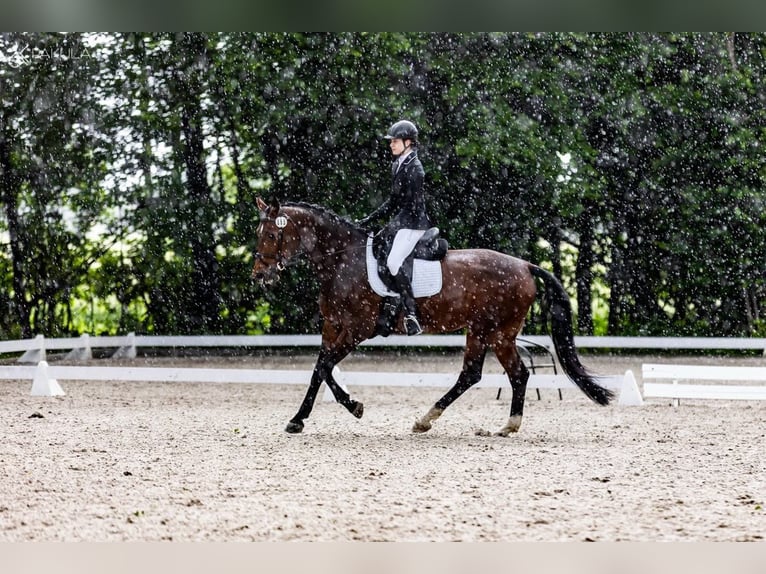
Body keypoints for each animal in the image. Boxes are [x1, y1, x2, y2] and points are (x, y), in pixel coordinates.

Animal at [251, 197, 613, 436]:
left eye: (270, 235)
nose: (259, 276)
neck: (343, 260)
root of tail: (524, 265)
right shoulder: (332, 326)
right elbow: (319, 369)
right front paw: (303, 417)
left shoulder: (358, 329)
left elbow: (325, 366)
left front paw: (350, 408)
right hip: (481, 330)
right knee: (478, 375)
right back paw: (439, 421)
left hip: (498, 332)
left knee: (513, 374)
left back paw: (499, 425)